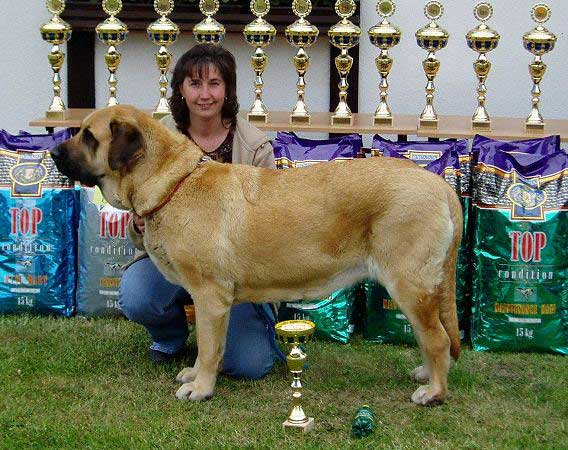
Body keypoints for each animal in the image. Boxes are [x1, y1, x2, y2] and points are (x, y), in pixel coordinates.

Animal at [51, 104, 464, 404]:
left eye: (89, 136)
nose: (53, 151)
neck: (172, 182)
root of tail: (440, 186)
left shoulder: (210, 297)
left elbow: (209, 347)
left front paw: (200, 388)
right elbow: (204, 347)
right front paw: (194, 376)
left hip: (409, 286)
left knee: (438, 338)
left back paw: (434, 392)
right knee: (433, 336)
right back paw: (426, 374)